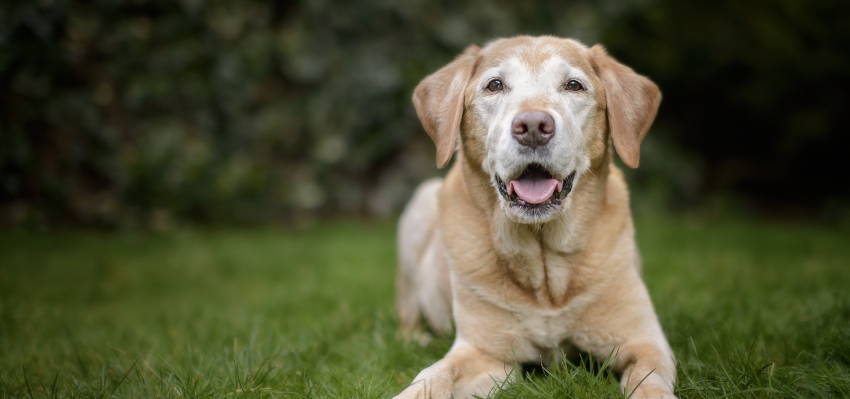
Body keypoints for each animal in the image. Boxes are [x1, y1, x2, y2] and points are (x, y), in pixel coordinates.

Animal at [390, 36, 676, 398]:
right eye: (495, 85)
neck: (544, 266)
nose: (533, 127)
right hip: (422, 203)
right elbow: (433, 375)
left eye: (573, 85)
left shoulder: (645, 342)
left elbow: (650, 384)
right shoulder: (486, 353)